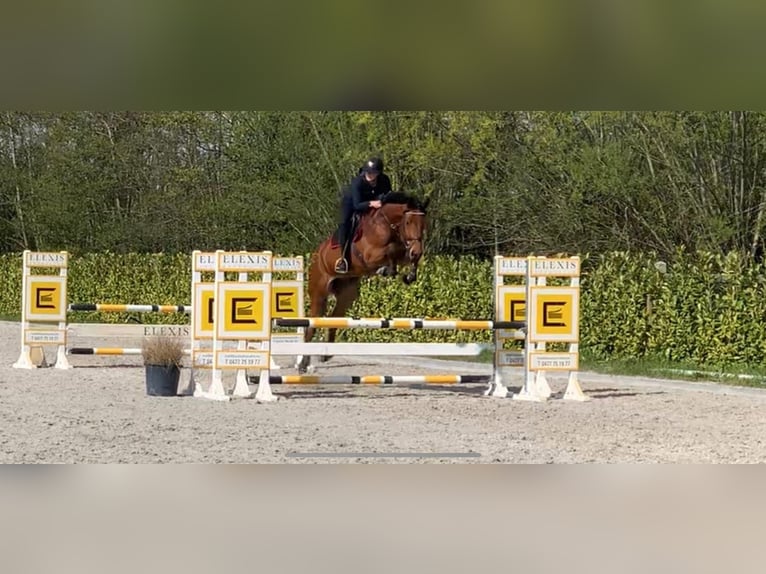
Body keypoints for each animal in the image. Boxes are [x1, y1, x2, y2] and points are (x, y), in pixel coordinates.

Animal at [295, 191, 429, 373]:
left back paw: (325, 355)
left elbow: (405, 258)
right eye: (408, 222)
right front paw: (386, 270)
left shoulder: (404, 253)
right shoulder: (370, 255)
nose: (417, 250)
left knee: (333, 318)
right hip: (319, 292)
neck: (387, 226)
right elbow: (389, 252)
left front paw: (408, 275)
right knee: (312, 323)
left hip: (347, 294)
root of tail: (317, 255)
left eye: (424, 223)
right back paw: (303, 364)